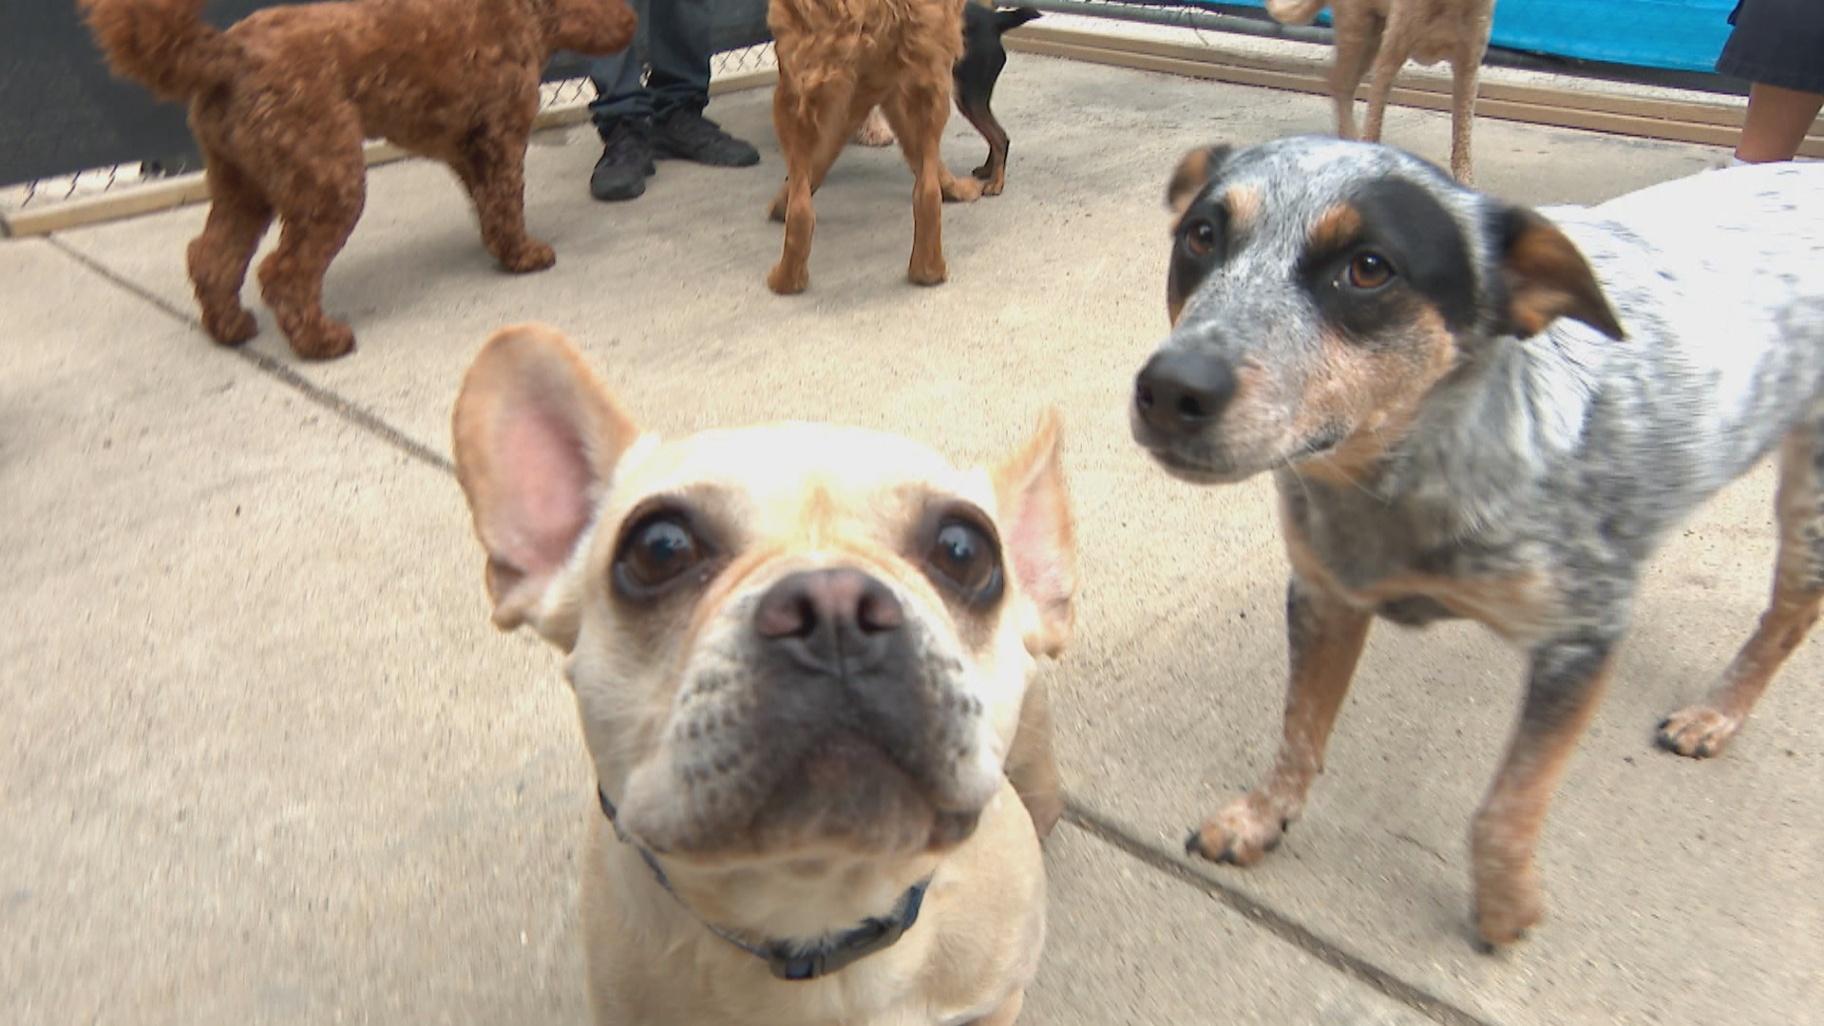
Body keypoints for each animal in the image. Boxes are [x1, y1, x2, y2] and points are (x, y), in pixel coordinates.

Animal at [76, 0, 634, 359]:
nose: (633, 20)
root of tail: (226, 55)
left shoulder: (468, 146)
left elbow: (490, 205)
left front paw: (502, 248)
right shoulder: (500, 136)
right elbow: (506, 200)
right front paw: (523, 255)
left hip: (243, 186)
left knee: (212, 257)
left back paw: (230, 328)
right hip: (329, 180)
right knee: (282, 272)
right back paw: (321, 342)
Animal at [766, 0, 984, 293]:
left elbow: (821, 158)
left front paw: (783, 201)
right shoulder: (886, 85)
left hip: (792, 92)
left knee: (801, 209)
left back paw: (786, 279)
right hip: (928, 79)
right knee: (927, 192)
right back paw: (928, 271)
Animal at [1123, 134, 1824, 942]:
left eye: (1369, 267)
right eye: (1201, 236)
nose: (1171, 389)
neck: (1404, 477)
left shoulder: (1578, 642)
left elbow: (1507, 803)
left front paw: (1504, 908)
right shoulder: (1326, 597)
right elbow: (1299, 731)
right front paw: (1261, 818)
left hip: (1809, 501)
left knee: (1788, 616)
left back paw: (1716, 716)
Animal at [1269, 0, 1495, 181]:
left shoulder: (1468, 69)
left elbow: (1462, 137)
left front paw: (1466, 185)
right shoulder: (1389, 59)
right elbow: (1374, 124)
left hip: (1370, 39)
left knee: (1341, 83)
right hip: (1357, 30)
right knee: (1338, 82)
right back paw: (1351, 139)